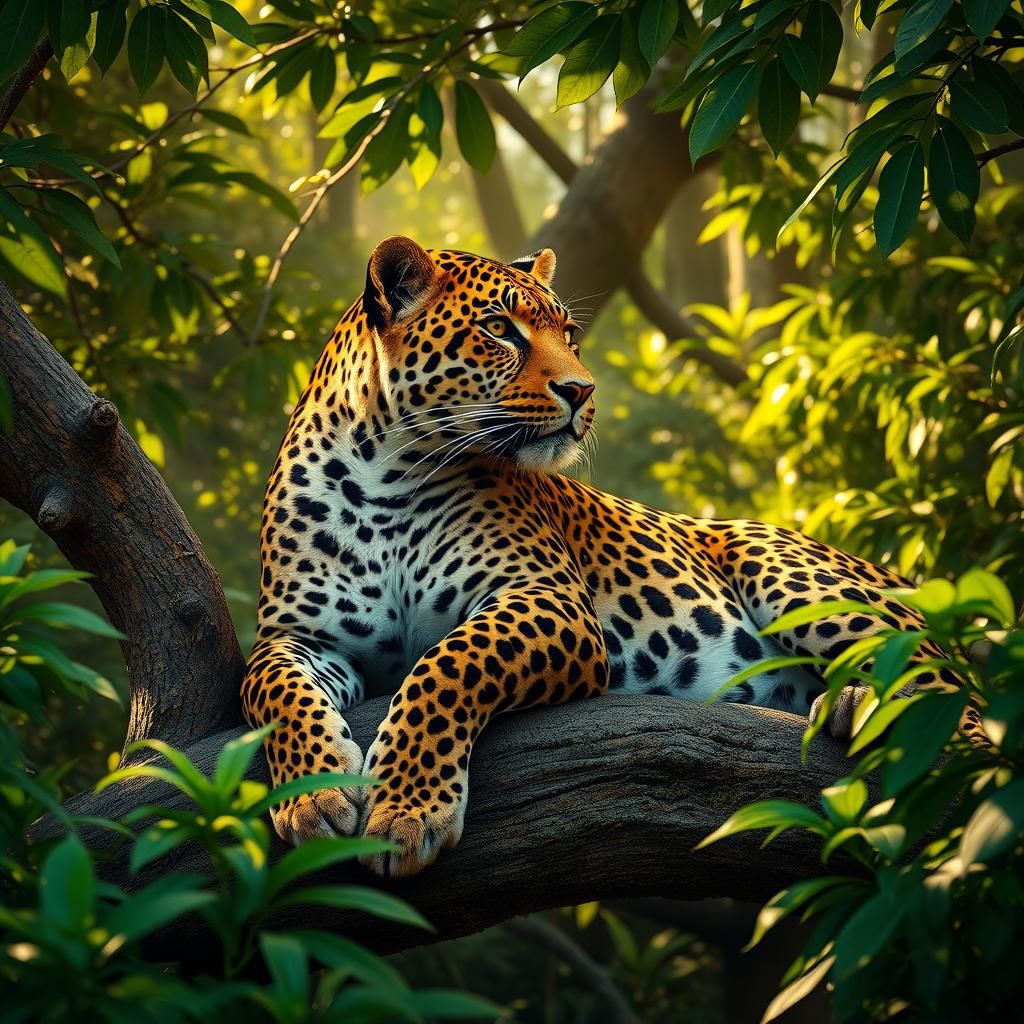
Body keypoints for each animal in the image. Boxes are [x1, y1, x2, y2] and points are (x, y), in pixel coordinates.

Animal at [241, 235, 983, 878]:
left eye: (568, 335)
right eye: (499, 329)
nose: (582, 391)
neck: (386, 475)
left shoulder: (547, 600)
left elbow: (446, 666)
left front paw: (407, 808)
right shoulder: (300, 636)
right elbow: (270, 689)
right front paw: (313, 798)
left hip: (794, 572)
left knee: (966, 701)